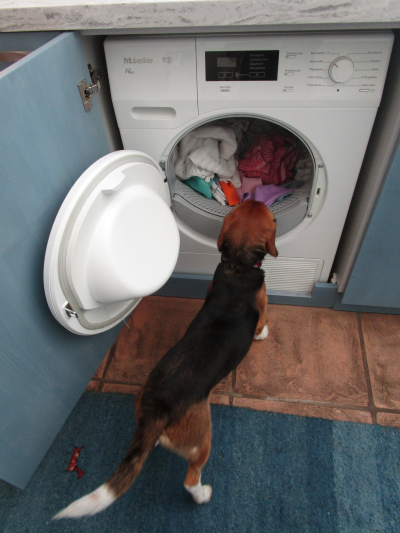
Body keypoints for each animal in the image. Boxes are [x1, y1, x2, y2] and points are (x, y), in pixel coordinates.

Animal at [54, 199, 278, 519]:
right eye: (270, 216)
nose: (254, 197)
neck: (238, 264)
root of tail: (156, 410)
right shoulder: (262, 307)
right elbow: (261, 327)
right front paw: (265, 333)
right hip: (202, 440)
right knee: (191, 478)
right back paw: (202, 494)